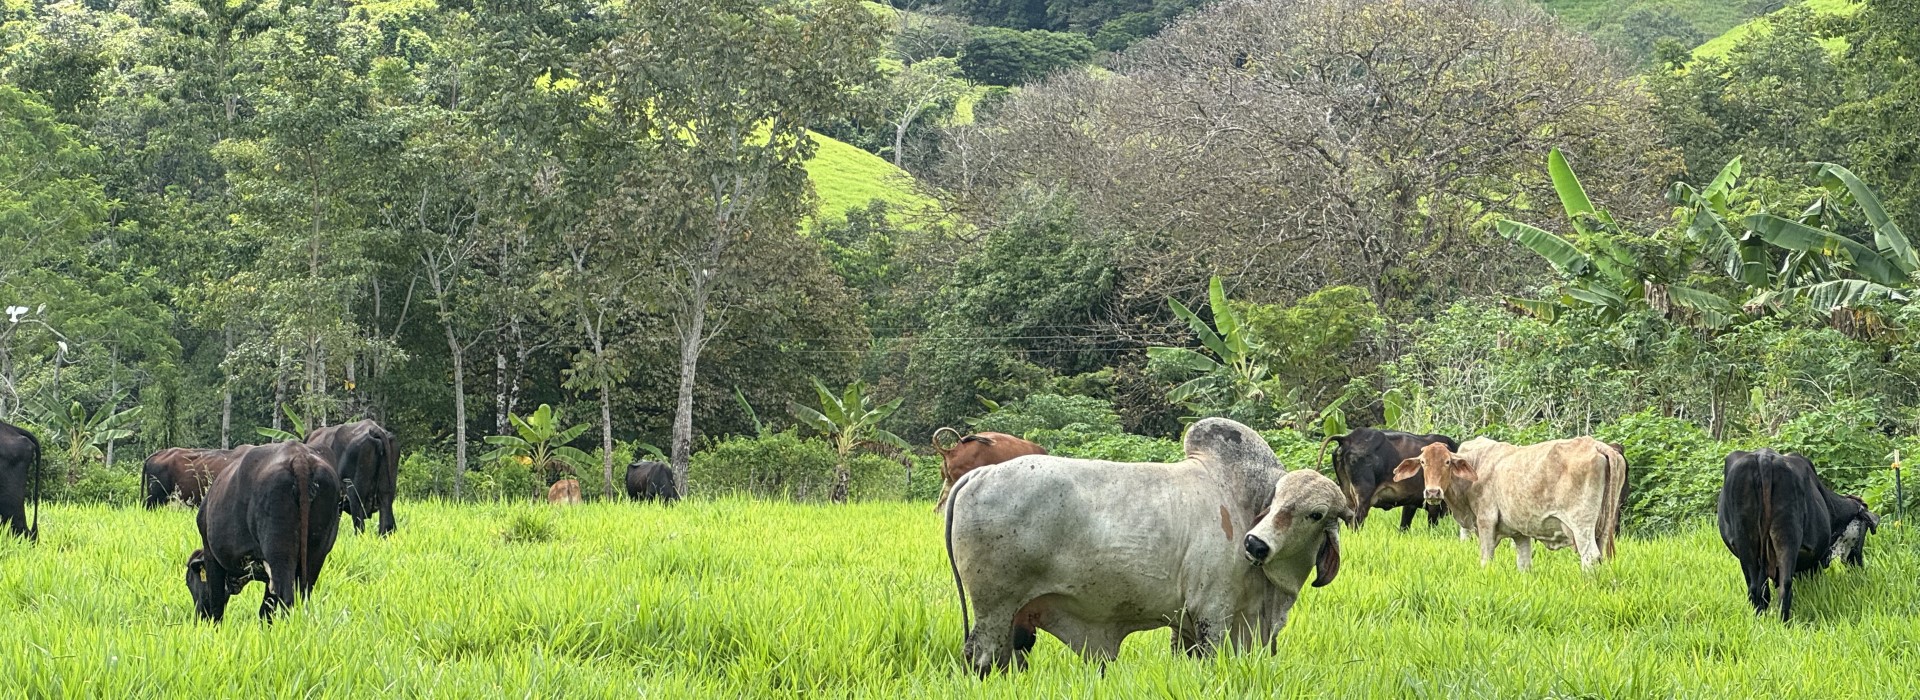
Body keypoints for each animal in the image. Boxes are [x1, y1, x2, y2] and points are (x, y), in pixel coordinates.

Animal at [183, 439, 341, 617]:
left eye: (190, 582)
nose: (199, 614)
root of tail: (299, 457)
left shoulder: (212, 555)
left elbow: (216, 604)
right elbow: (266, 609)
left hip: (280, 553)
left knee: (286, 597)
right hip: (316, 552)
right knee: (301, 595)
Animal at [936, 418, 1344, 675]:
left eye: (1315, 514)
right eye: (1275, 503)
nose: (1255, 545)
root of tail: (978, 474)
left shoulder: (1187, 623)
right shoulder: (1212, 611)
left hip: (1008, 616)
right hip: (994, 608)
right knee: (981, 658)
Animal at [1328, 425, 1459, 529]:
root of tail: (1348, 438)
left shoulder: (1411, 503)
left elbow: (1404, 525)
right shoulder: (1434, 502)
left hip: (1347, 493)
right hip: (1362, 496)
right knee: (1356, 519)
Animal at [1390, 433, 1628, 571]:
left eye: (1447, 462)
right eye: (1423, 462)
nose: (1432, 492)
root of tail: (1598, 446)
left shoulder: (1486, 521)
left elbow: (1486, 560)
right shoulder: (1520, 533)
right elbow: (1524, 564)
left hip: (1581, 525)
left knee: (1590, 558)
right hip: (1604, 527)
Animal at [1720, 450, 1881, 617]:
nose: (1859, 565)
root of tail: (1764, 456)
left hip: (1747, 542)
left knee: (1757, 588)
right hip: (1787, 537)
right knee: (1783, 586)